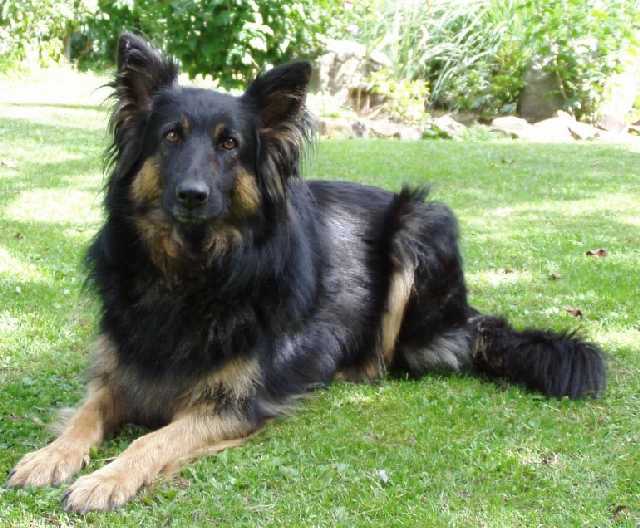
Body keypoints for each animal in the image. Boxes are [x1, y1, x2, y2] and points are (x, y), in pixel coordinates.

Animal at [7, 33, 606, 512]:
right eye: (171, 136)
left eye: (229, 144)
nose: (192, 196)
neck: (193, 273)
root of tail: (466, 314)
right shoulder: (120, 370)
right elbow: (86, 414)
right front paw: (49, 456)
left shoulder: (235, 404)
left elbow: (150, 441)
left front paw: (106, 479)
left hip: (421, 224)